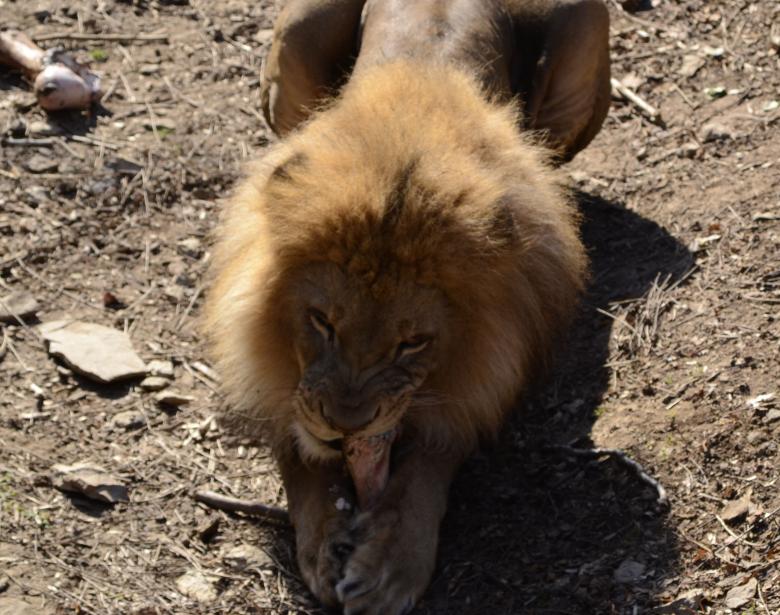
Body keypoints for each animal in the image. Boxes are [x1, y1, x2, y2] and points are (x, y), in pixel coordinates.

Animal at [206, 1, 609, 613]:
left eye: (412, 342)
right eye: (322, 322)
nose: (344, 429)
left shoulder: (482, 376)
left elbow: (427, 465)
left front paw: (389, 565)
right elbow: (299, 454)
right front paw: (323, 541)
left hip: (586, 43)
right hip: (293, 46)